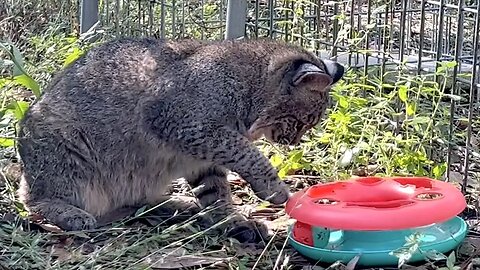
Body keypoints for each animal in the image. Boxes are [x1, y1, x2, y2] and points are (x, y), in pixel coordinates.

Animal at [15, 37, 344, 243]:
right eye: (301, 122)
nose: (294, 142)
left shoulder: (202, 151)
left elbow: (217, 191)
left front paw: (232, 221)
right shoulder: (179, 121)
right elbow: (248, 153)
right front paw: (274, 189)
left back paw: (174, 205)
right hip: (64, 145)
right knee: (31, 199)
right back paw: (69, 212)